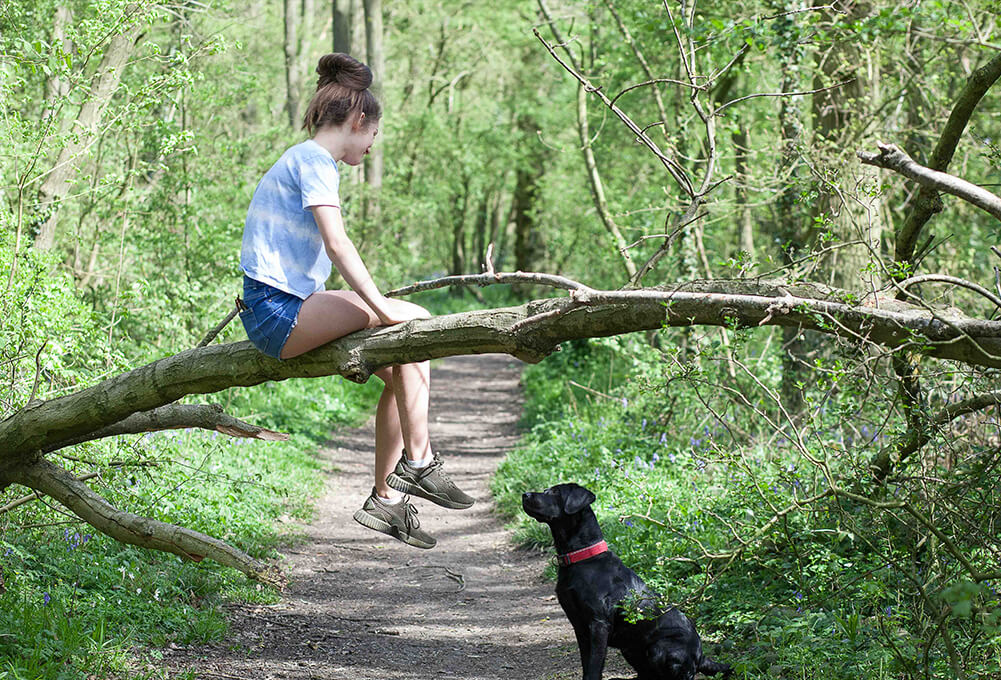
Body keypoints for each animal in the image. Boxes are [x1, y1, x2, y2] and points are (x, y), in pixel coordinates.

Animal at [524, 484, 736, 680]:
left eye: (554, 492)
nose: (524, 495)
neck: (582, 557)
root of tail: (701, 657)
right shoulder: (580, 627)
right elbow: (586, 666)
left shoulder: (598, 624)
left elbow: (594, 668)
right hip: (630, 649)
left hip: (660, 649)